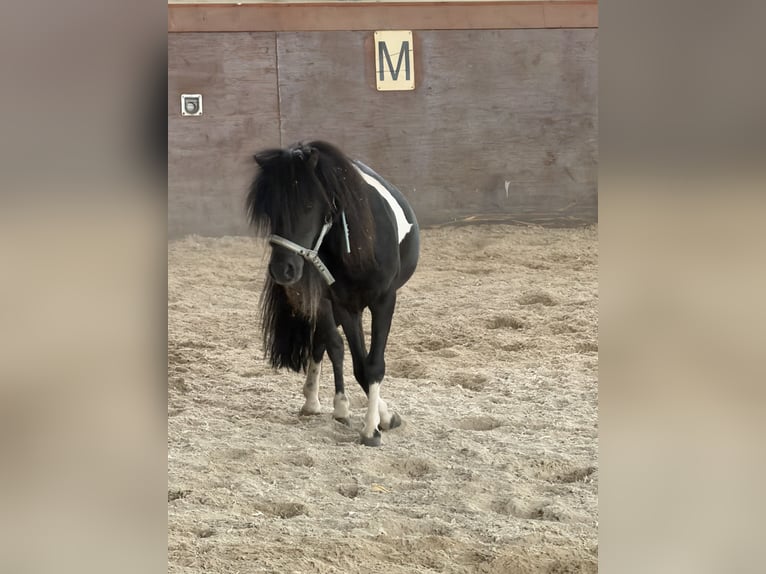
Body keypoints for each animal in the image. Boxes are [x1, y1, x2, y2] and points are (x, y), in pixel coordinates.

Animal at [246, 140, 420, 446]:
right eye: (269, 210)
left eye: (308, 206)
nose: (282, 270)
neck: (359, 245)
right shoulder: (343, 305)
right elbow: (359, 364)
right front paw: (375, 422)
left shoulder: (383, 301)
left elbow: (373, 364)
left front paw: (373, 427)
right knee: (327, 343)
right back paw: (323, 403)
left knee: (322, 342)